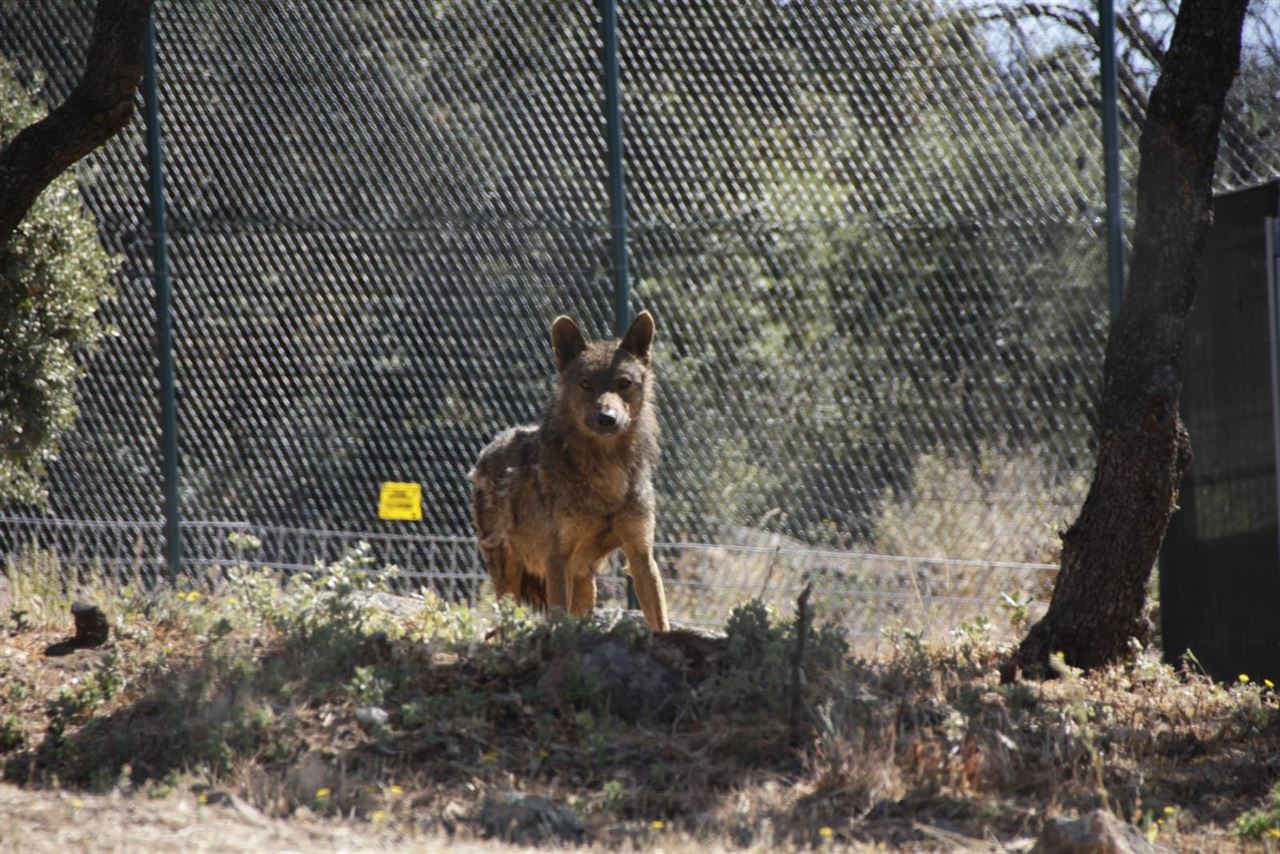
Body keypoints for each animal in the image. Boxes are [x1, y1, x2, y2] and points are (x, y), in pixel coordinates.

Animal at [468, 311, 670, 631]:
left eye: (624, 383)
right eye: (586, 384)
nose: (606, 418)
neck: (607, 472)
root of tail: (489, 448)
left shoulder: (641, 555)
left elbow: (661, 621)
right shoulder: (557, 559)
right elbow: (557, 623)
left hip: (586, 584)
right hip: (509, 581)